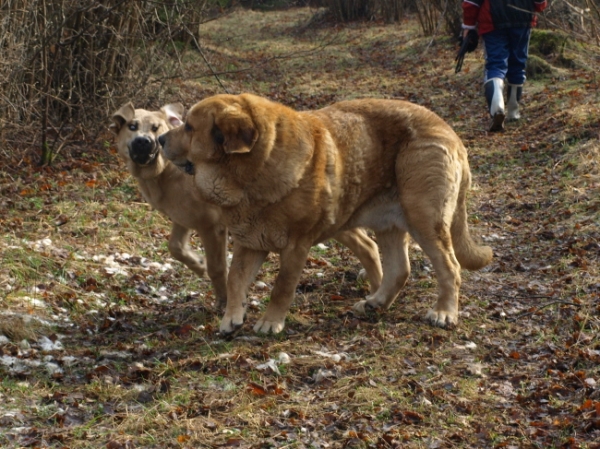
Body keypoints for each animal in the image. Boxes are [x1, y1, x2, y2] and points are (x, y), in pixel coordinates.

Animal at [109, 102, 229, 304]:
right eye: (132, 126)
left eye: (155, 128)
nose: (143, 141)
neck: (165, 170)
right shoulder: (183, 218)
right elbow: (175, 247)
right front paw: (198, 264)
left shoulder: (212, 227)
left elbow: (217, 268)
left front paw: (224, 301)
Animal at [159, 93, 492, 332]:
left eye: (189, 127)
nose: (160, 139)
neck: (253, 171)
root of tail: (450, 131)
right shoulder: (250, 242)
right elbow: (235, 279)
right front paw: (231, 318)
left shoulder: (296, 245)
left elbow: (282, 287)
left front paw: (270, 322)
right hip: (389, 224)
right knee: (399, 269)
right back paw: (375, 303)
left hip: (424, 218)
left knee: (450, 266)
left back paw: (444, 312)